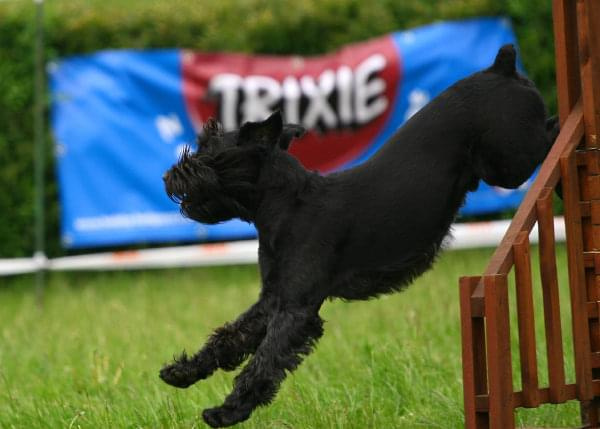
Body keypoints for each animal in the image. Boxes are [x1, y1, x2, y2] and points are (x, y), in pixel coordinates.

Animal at [158, 43, 556, 424]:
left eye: (209, 152)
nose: (168, 176)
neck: (287, 204)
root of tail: (500, 67)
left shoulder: (296, 308)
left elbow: (263, 362)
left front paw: (226, 412)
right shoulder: (272, 298)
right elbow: (229, 337)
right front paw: (182, 372)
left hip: (510, 162)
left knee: (550, 132)